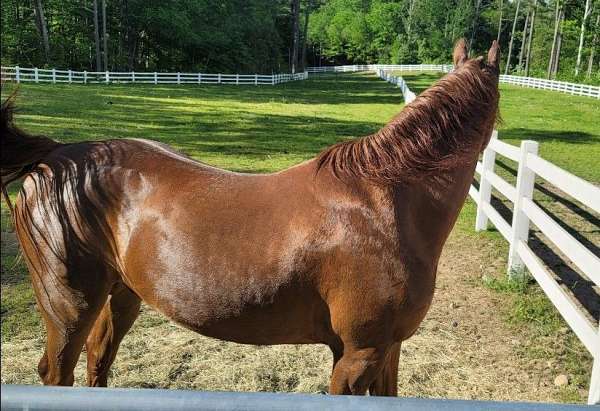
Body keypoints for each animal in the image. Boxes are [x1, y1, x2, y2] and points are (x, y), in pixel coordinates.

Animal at [2, 41, 500, 396]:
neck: (385, 205)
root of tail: (56, 157)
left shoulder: (388, 349)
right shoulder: (358, 354)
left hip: (122, 294)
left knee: (98, 359)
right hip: (69, 306)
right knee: (57, 371)